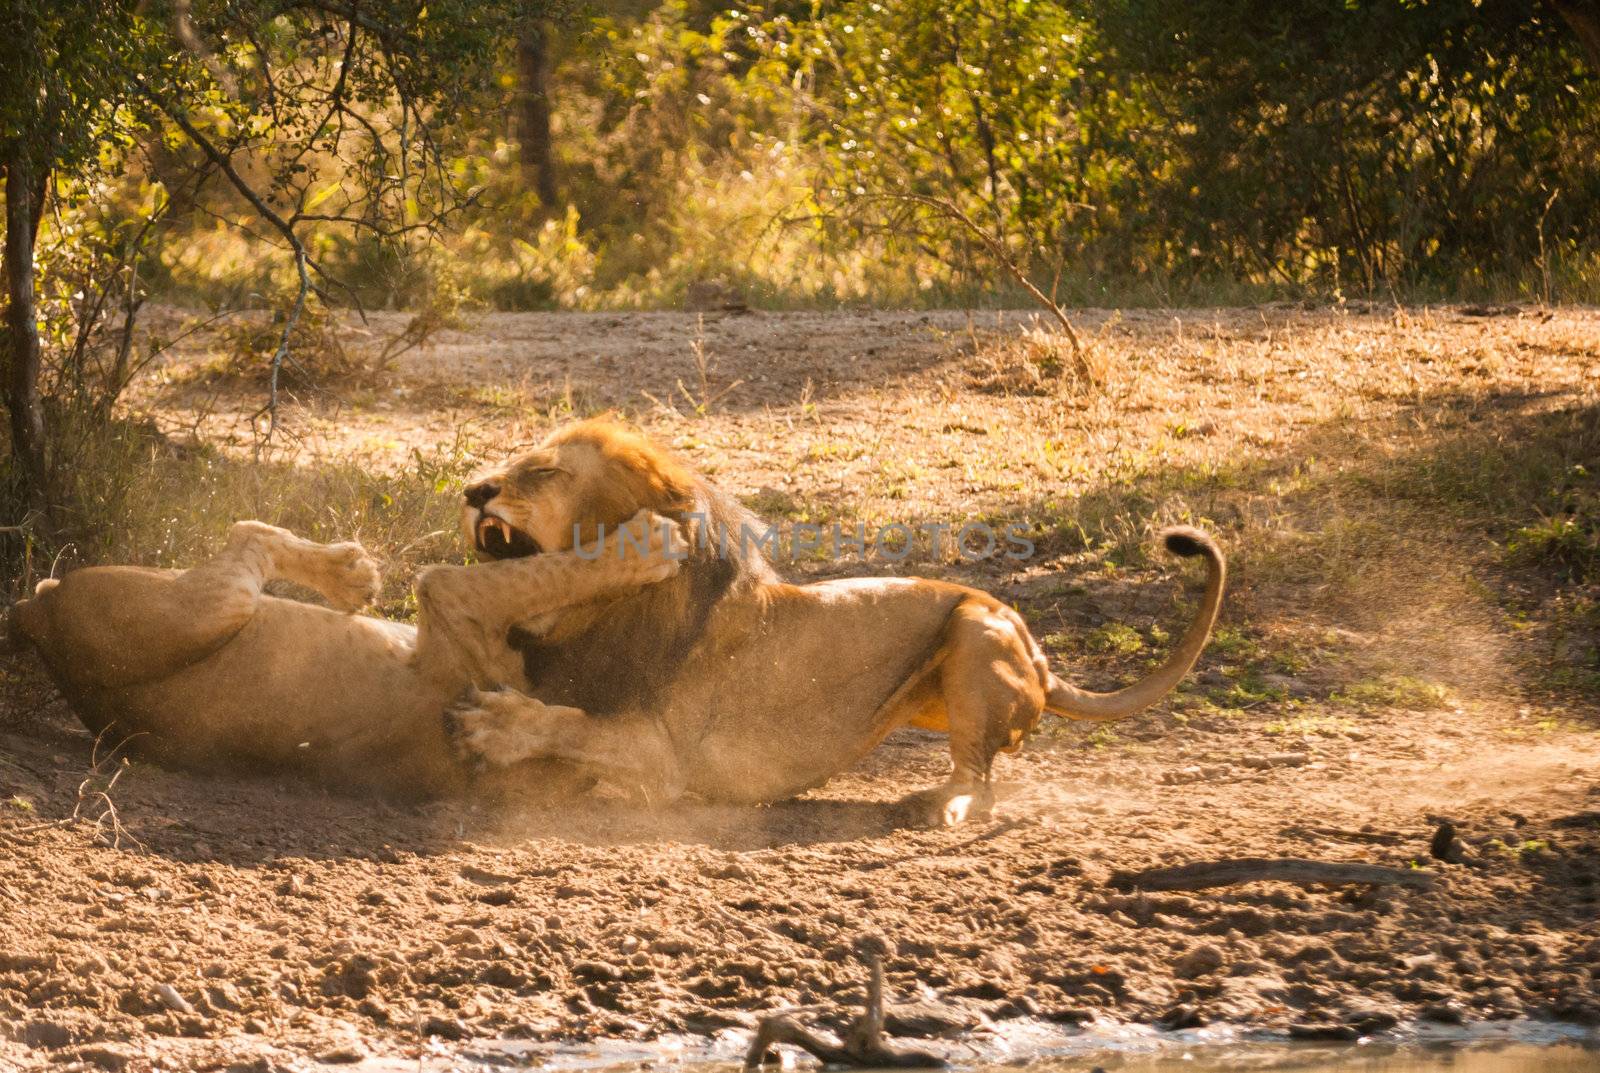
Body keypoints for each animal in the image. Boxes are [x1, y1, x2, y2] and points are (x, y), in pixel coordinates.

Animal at [7, 508, 681, 793]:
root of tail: (37, 618)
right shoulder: (454, 603)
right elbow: (547, 573)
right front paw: (650, 541)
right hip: (208, 609)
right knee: (248, 534)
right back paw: (351, 574)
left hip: (203, 609)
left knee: (247, 538)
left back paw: (351, 577)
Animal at [448, 418, 1222, 825]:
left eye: (543, 472)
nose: (472, 489)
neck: (600, 613)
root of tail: (1043, 658)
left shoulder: (664, 756)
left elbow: (571, 723)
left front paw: (496, 724)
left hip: (978, 629)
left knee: (981, 780)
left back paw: (937, 803)